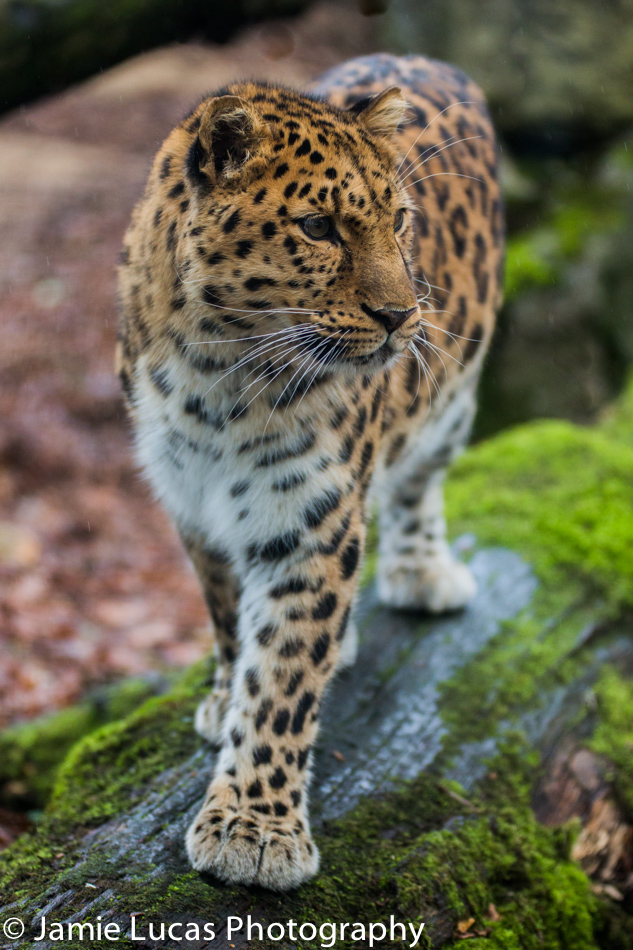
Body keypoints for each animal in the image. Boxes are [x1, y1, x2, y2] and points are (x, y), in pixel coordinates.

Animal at [116, 53, 504, 892]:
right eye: (318, 227)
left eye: (399, 220)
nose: (401, 316)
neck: (219, 375)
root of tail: (430, 59)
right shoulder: (190, 500)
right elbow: (231, 621)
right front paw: (225, 697)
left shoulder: (311, 521)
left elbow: (284, 680)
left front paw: (253, 829)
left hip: (453, 397)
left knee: (418, 480)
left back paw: (422, 571)